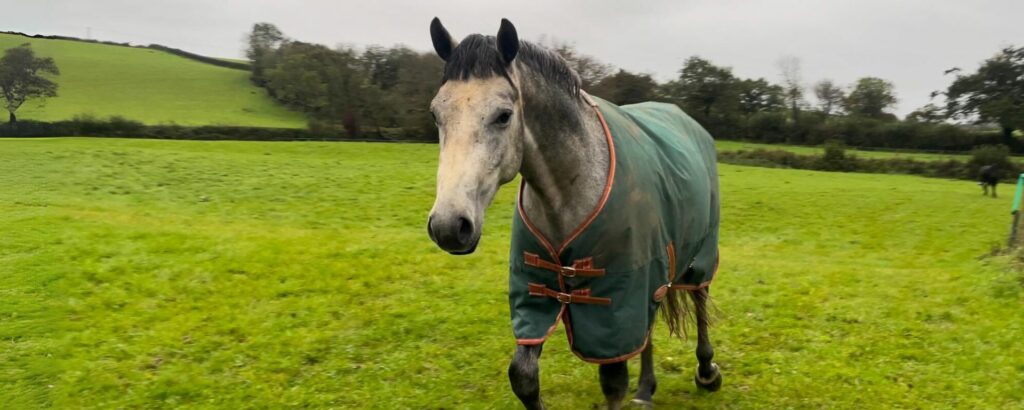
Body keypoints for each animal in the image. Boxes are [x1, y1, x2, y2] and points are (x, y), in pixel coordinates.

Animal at [424, 18, 722, 409]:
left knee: (700, 299)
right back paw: (646, 389)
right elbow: (523, 377)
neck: (568, 194)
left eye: (503, 116)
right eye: (437, 114)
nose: (448, 226)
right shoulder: (536, 293)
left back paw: (707, 372)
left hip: (697, 256)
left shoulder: (614, 305)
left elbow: (613, 382)